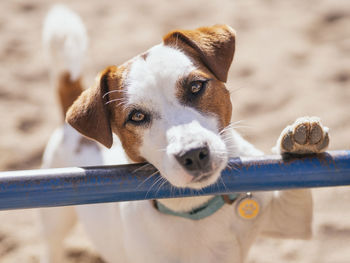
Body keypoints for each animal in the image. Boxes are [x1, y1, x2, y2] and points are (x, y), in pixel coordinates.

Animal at [39, 4, 330, 263]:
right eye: (137, 116)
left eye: (195, 87)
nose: (194, 154)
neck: (199, 209)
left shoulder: (291, 220)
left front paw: (301, 140)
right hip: (55, 219)